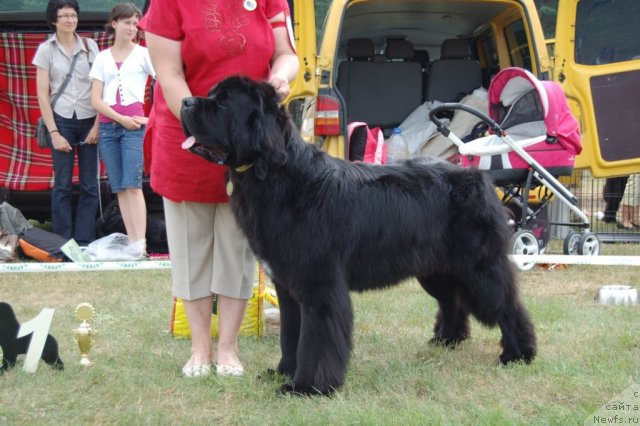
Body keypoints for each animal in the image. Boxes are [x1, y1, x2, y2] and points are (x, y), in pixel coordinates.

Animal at [180, 76, 536, 396]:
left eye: (222, 103)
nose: (184, 102)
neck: (278, 174)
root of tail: (479, 176)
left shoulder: (319, 285)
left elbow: (316, 339)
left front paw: (307, 387)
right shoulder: (288, 285)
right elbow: (290, 334)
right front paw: (283, 372)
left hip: (478, 267)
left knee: (507, 305)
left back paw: (518, 354)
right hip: (437, 269)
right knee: (452, 301)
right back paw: (445, 340)